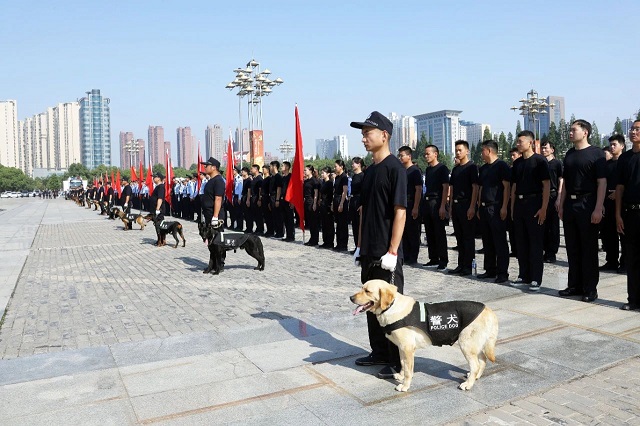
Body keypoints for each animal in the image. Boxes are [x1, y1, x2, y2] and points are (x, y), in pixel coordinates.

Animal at [352, 280, 498, 392]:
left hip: (466, 343)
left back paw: (468, 384)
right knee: (483, 360)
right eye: (361, 288)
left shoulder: (407, 348)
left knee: (476, 364)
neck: (391, 306)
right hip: (476, 343)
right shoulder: (402, 348)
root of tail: (488, 310)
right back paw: (475, 376)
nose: (351, 298)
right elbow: (403, 364)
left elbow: (408, 370)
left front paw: (405, 386)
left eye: (367, 291)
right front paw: (401, 376)